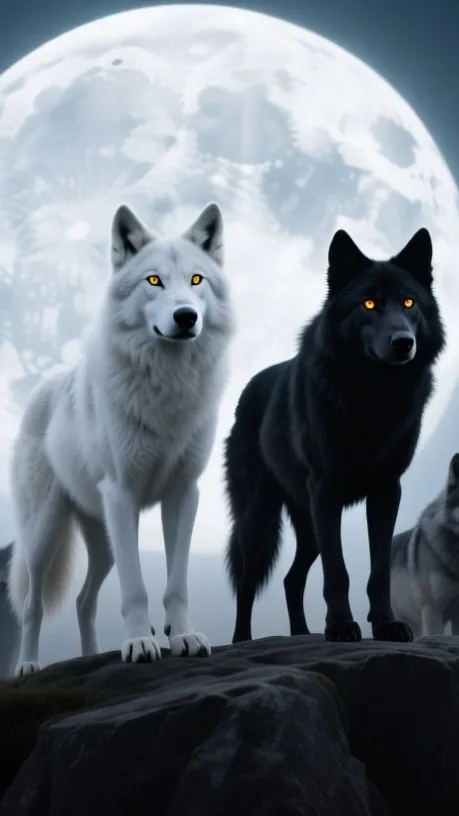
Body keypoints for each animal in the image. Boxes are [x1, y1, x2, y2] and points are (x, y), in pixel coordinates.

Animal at [8, 201, 234, 676]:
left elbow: (175, 583)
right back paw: (28, 667)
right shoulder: (122, 494)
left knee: (83, 601)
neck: (168, 386)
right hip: (46, 534)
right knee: (32, 606)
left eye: (196, 280)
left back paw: (91, 657)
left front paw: (183, 637)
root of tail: (41, 388)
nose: (186, 317)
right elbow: (136, 588)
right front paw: (139, 644)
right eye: (154, 280)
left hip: (104, 539)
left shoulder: (183, 494)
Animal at [224, 227, 445, 644]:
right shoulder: (327, 489)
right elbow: (337, 571)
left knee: (291, 580)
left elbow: (379, 571)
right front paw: (341, 626)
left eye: (409, 302)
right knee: (246, 582)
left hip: (307, 525)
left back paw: (301, 634)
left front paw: (386, 625)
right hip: (261, 522)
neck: (374, 397)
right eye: (369, 303)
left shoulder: (386, 490)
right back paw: (241, 641)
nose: (403, 342)